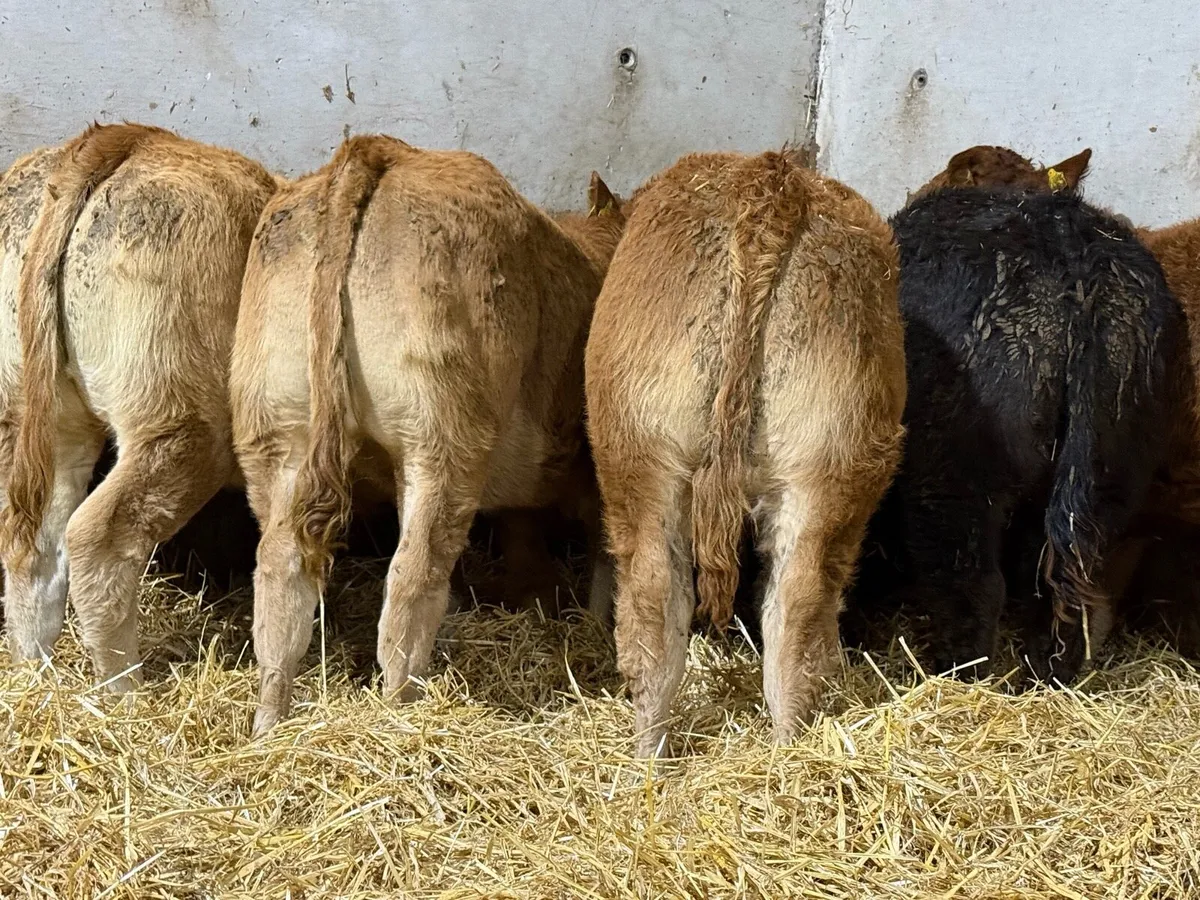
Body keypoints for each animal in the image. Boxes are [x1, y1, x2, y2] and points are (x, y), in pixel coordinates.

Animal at [0, 123, 278, 688]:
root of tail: (126, 138)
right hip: (181, 421)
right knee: (97, 538)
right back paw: (124, 688)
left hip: (41, 418)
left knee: (33, 541)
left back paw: (34, 673)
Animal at [231, 134, 625, 734]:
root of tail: (375, 151)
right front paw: (595, 623)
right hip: (442, 438)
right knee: (413, 575)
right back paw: (400, 710)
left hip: (276, 430)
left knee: (280, 568)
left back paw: (268, 721)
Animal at [585, 150, 906, 756]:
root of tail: (770, 190)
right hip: (820, 469)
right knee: (789, 611)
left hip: (645, 459)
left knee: (658, 608)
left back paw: (649, 757)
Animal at [872, 144, 1184, 683]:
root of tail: (1075, 253)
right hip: (1112, 470)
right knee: (1075, 586)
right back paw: (1047, 678)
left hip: (956, 473)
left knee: (973, 583)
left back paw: (958, 676)